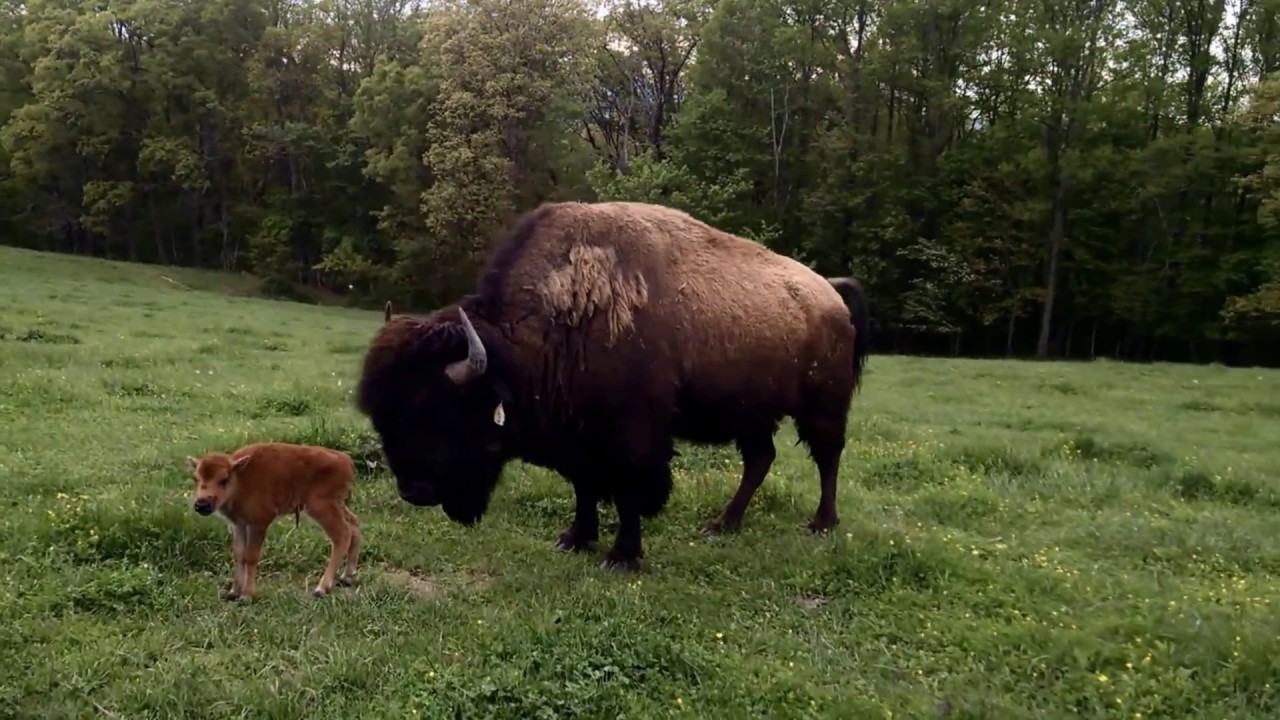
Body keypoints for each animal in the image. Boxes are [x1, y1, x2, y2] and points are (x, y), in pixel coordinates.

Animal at [186, 442, 361, 600]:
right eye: (196, 478)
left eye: (224, 479)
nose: (202, 504)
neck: (241, 478)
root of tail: (346, 460)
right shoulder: (239, 525)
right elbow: (239, 555)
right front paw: (233, 592)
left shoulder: (259, 523)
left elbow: (251, 556)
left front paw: (246, 596)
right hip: (338, 506)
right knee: (354, 524)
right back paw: (347, 577)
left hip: (322, 508)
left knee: (342, 535)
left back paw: (321, 588)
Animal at [355, 200, 869, 571]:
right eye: (381, 415)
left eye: (437, 410)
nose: (414, 491)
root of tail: (829, 293)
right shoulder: (577, 439)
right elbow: (585, 487)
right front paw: (574, 539)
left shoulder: (633, 438)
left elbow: (629, 492)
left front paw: (622, 557)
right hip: (752, 413)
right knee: (761, 459)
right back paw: (723, 524)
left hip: (821, 406)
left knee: (827, 457)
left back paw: (821, 524)